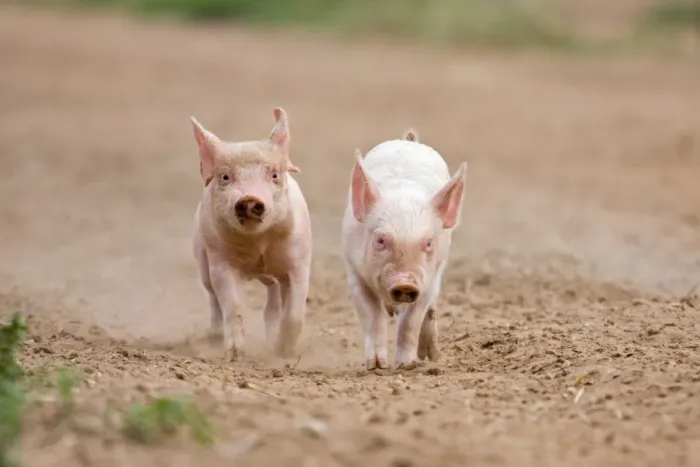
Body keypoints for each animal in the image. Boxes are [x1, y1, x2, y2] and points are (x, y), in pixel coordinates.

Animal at [190, 108, 312, 362]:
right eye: (225, 177)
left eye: (274, 175)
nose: (249, 199)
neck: (259, 248)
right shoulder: (220, 262)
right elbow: (233, 307)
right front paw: (236, 356)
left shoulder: (299, 262)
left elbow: (294, 314)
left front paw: (283, 353)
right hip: (201, 257)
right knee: (212, 297)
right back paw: (213, 337)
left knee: (273, 305)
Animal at [341, 128, 467, 370]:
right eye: (381, 240)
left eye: (428, 243)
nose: (405, 283)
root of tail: (409, 141)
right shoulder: (354, 271)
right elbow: (373, 317)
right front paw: (376, 366)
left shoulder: (427, 280)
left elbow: (411, 321)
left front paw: (405, 366)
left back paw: (431, 356)